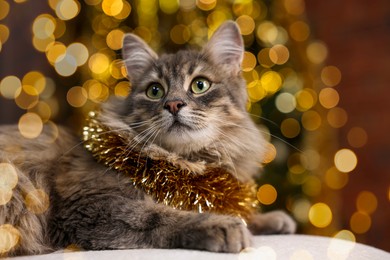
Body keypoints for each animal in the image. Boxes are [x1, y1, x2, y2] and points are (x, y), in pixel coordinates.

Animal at [0, 20, 294, 256]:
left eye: (200, 85)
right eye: (155, 91)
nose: (174, 104)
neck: (185, 163)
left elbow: (232, 209)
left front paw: (273, 220)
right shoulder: (91, 206)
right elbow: (160, 216)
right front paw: (221, 225)